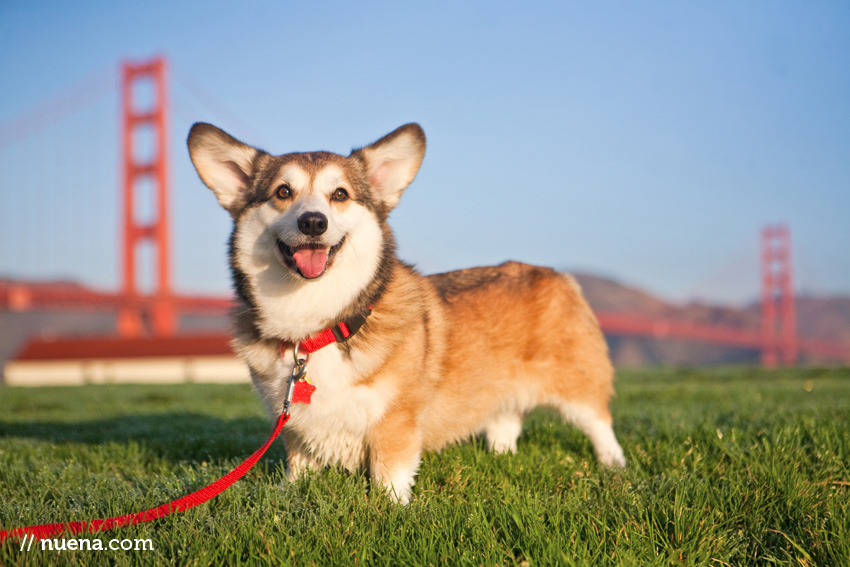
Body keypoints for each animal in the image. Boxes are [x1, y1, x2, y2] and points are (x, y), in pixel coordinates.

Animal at [187, 123, 624, 502]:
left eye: (340, 195)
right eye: (282, 191)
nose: (313, 222)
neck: (319, 324)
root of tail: (556, 274)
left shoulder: (394, 420)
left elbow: (389, 473)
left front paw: (391, 509)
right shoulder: (296, 425)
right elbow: (300, 467)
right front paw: (289, 493)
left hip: (576, 383)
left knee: (599, 422)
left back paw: (614, 466)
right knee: (506, 420)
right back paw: (500, 455)